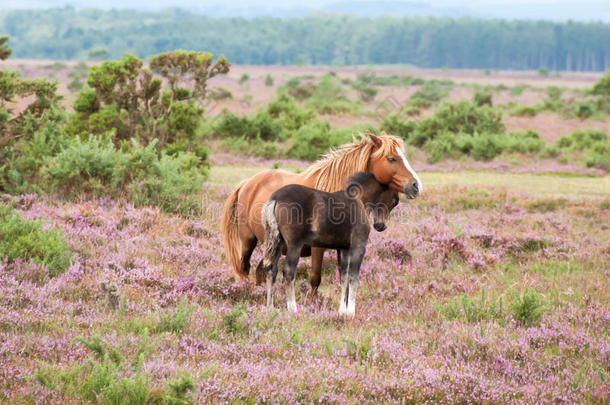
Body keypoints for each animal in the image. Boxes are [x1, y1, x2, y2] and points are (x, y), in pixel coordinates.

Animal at [221, 131, 420, 286]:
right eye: (392, 158)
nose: (416, 185)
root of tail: (247, 183)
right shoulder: (317, 248)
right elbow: (315, 278)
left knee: (261, 272)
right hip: (248, 241)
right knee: (245, 269)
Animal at [262, 172, 400, 314]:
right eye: (395, 200)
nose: (381, 226)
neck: (359, 200)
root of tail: (275, 198)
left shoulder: (344, 249)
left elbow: (344, 276)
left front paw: (342, 311)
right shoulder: (358, 247)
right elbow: (353, 276)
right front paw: (351, 312)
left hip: (277, 243)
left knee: (271, 270)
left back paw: (270, 308)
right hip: (294, 245)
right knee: (288, 271)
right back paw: (293, 309)